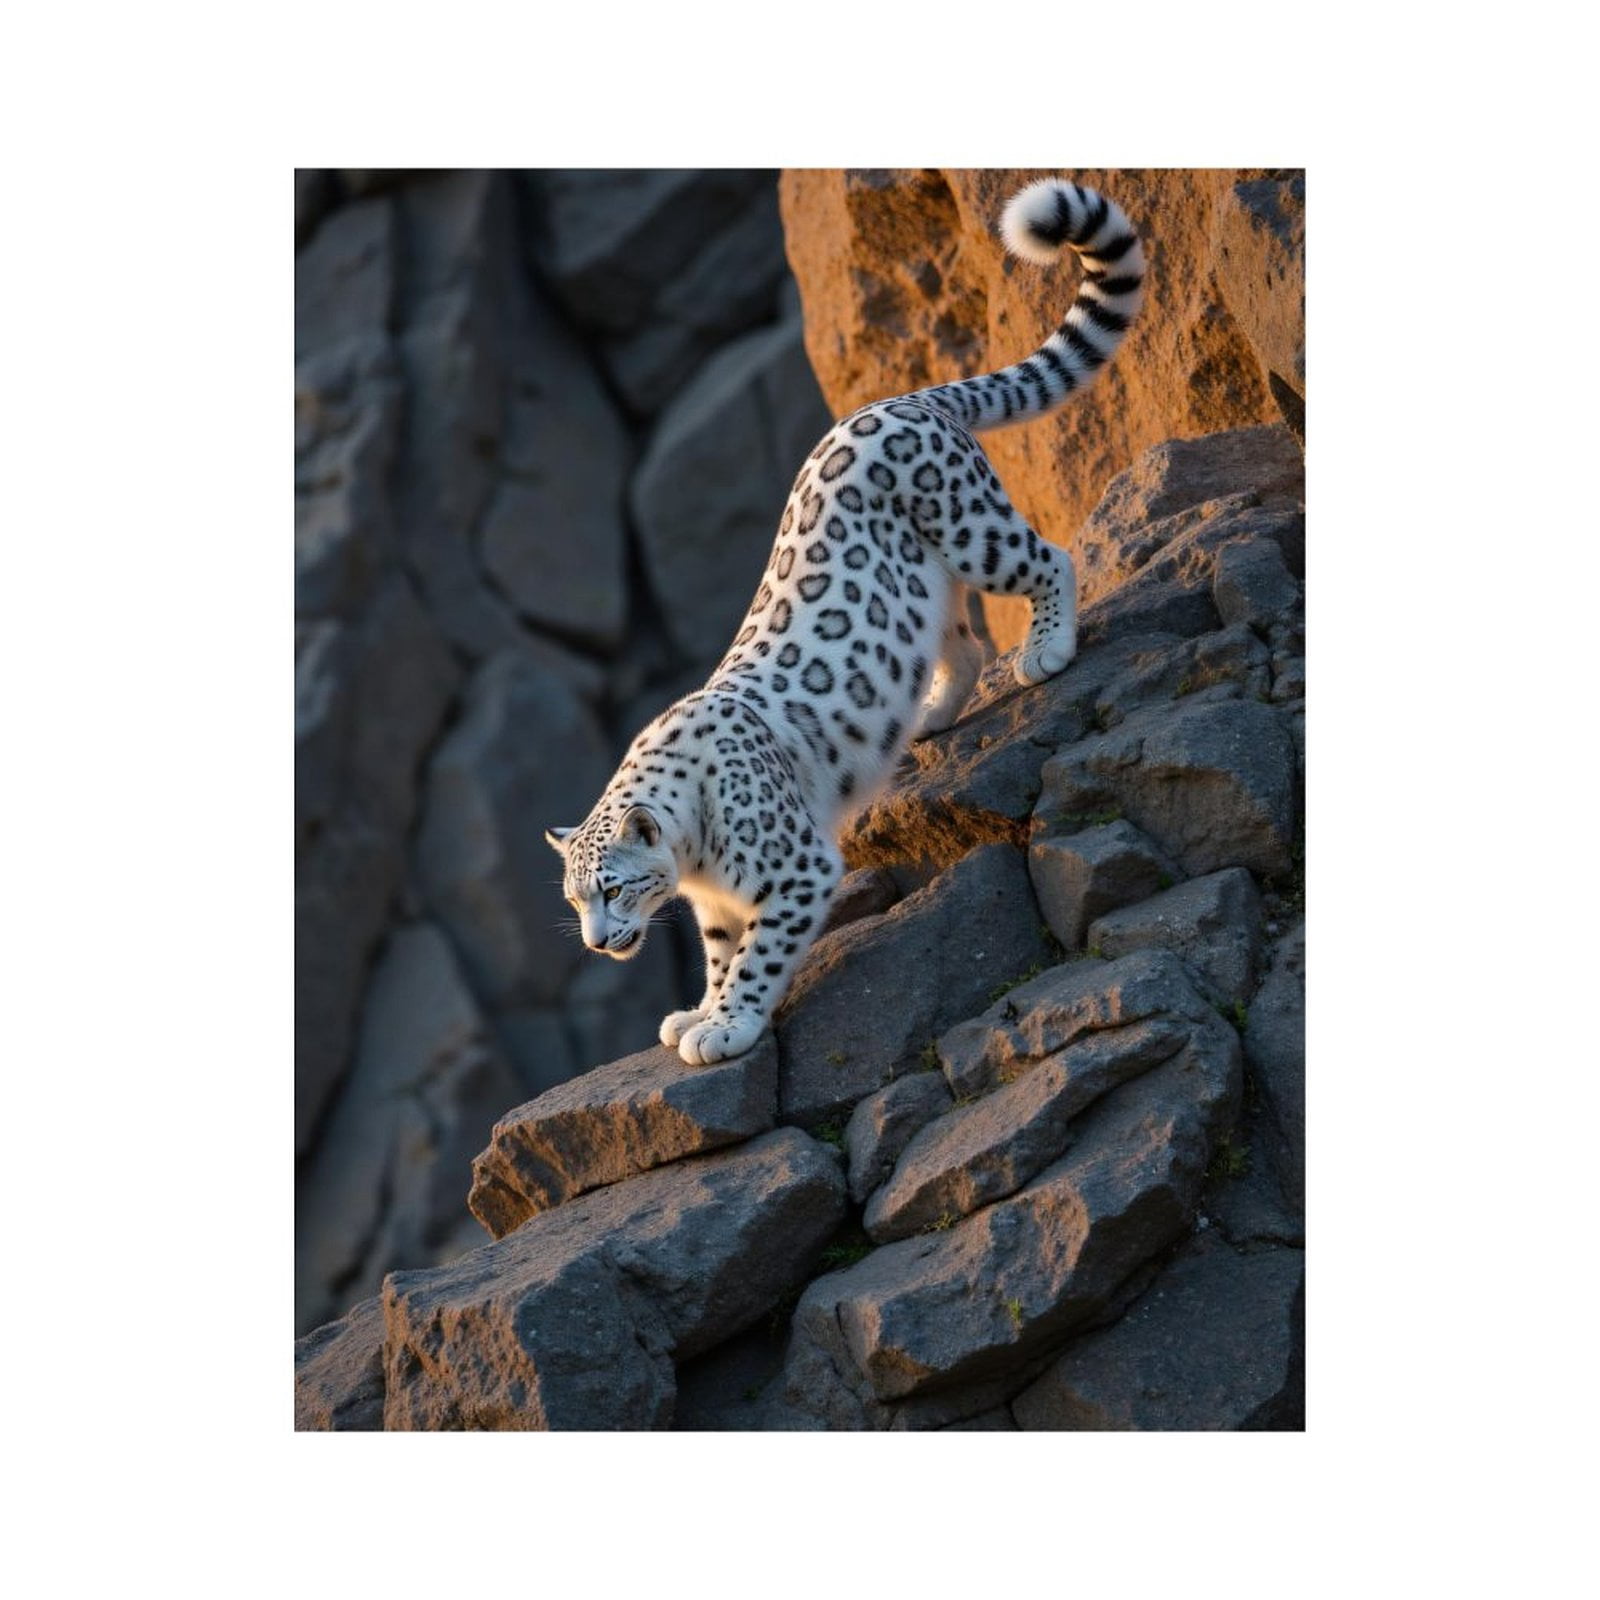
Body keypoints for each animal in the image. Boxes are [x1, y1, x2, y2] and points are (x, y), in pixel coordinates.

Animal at [547, 177, 1146, 1066]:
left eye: (612, 886)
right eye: (573, 895)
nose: (594, 940)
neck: (695, 864)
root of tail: (901, 400)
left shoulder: (792, 869)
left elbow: (758, 957)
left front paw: (726, 1027)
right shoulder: (717, 906)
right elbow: (722, 955)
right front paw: (697, 1012)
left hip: (970, 527)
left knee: (1048, 558)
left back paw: (1047, 650)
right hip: (924, 595)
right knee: (961, 642)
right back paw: (929, 715)